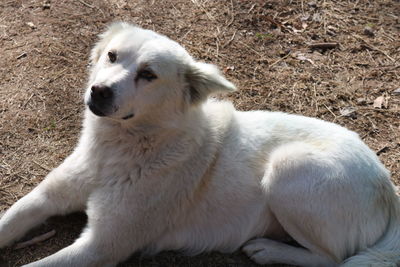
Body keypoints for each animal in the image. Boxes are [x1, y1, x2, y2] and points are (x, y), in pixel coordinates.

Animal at [0, 23, 400, 267]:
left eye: (148, 75)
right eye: (112, 56)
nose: (99, 91)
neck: (118, 149)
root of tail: (387, 184)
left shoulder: (101, 245)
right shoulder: (48, 196)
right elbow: (11, 218)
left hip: (290, 168)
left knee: (335, 258)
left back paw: (268, 249)